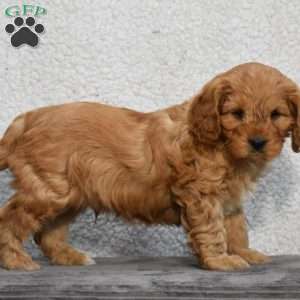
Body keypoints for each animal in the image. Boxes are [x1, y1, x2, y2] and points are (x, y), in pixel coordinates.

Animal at [0, 62, 300, 270]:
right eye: (237, 114)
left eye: (276, 115)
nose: (258, 142)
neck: (222, 145)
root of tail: (26, 119)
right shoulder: (201, 195)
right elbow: (213, 229)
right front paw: (220, 260)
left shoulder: (229, 199)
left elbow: (237, 228)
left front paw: (243, 253)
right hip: (47, 190)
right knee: (9, 219)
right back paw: (15, 260)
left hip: (69, 194)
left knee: (49, 234)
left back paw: (70, 256)